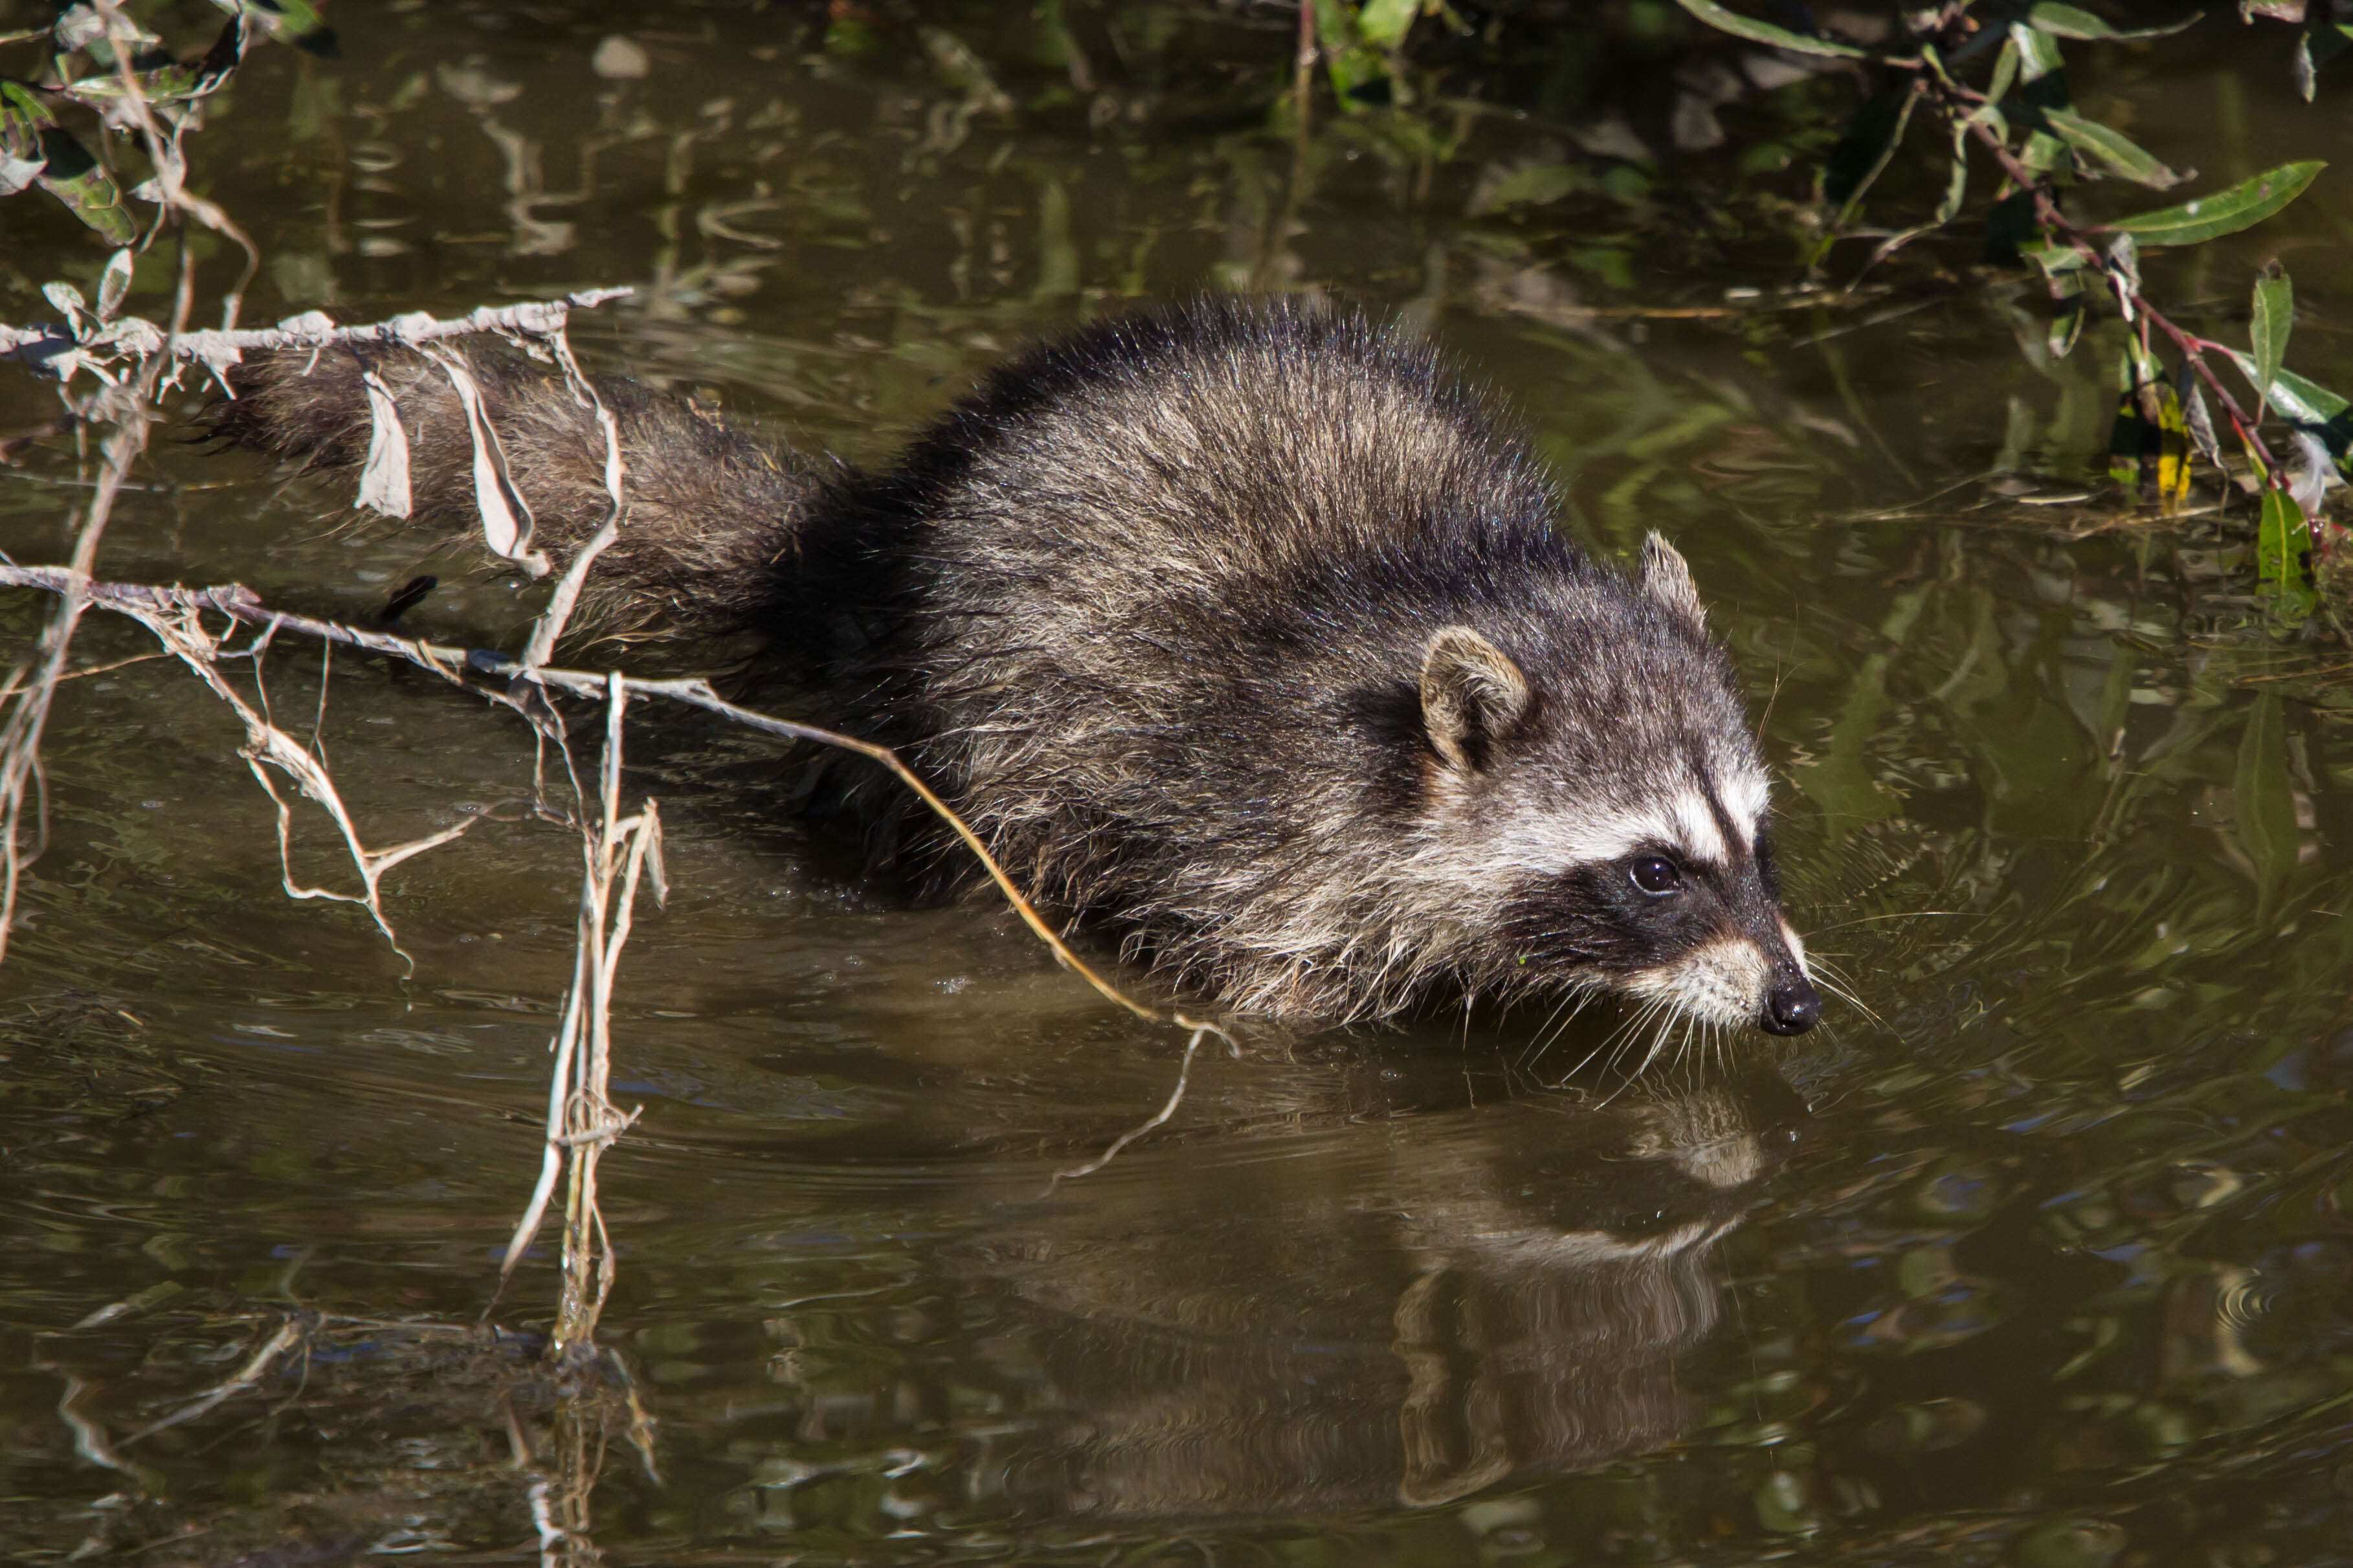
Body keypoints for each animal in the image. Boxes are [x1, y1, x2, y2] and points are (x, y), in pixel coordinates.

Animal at [225, 298, 1816, 1034]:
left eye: (1754, 838)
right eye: (1653, 869)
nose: (1797, 1003)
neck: (1461, 580)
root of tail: (884, 530)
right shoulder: (1266, 837)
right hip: (959, 718)